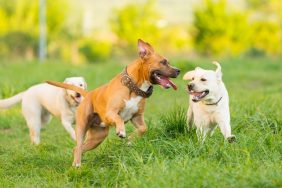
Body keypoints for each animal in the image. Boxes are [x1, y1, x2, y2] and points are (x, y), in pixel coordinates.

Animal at [47, 39, 180, 167]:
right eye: (163, 62)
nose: (178, 70)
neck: (133, 87)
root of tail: (89, 94)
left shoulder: (137, 117)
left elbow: (143, 128)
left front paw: (130, 140)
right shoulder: (111, 113)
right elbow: (119, 118)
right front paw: (121, 131)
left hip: (97, 137)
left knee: (77, 149)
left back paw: (76, 163)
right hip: (81, 128)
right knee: (79, 145)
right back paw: (78, 163)